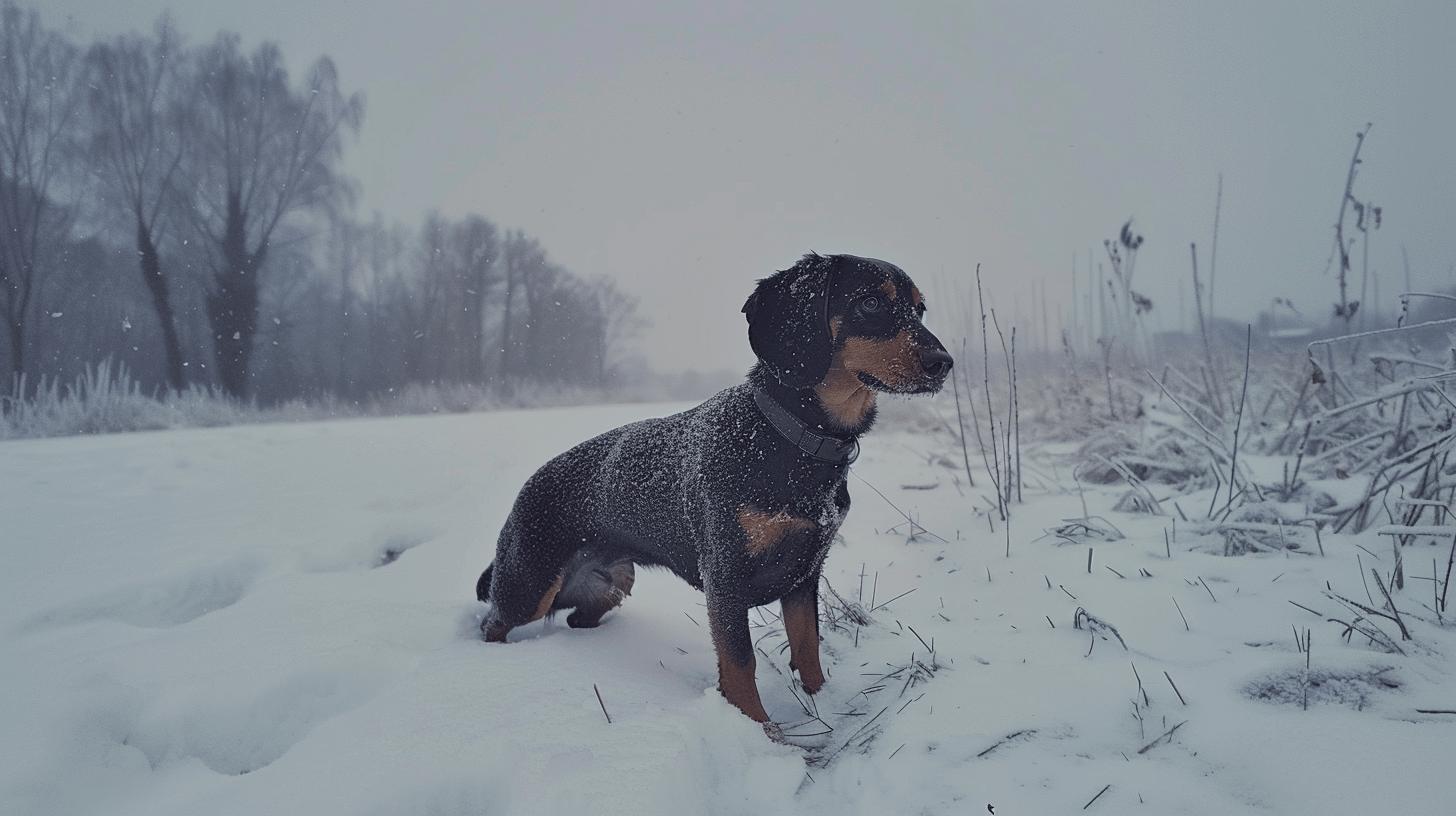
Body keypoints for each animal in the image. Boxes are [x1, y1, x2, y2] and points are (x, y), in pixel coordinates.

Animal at [477, 253, 955, 719]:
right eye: (870, 302)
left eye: (919, 309)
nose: (943, 363)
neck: (788, 439)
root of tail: (526, 489)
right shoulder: (726, 577)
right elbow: (741, 664)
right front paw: (761, 730)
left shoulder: (805, 574)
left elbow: (808, 647)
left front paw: (823, 709)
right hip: (529, 585)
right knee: (493, 621)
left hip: (612, 583)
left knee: (578, 619)